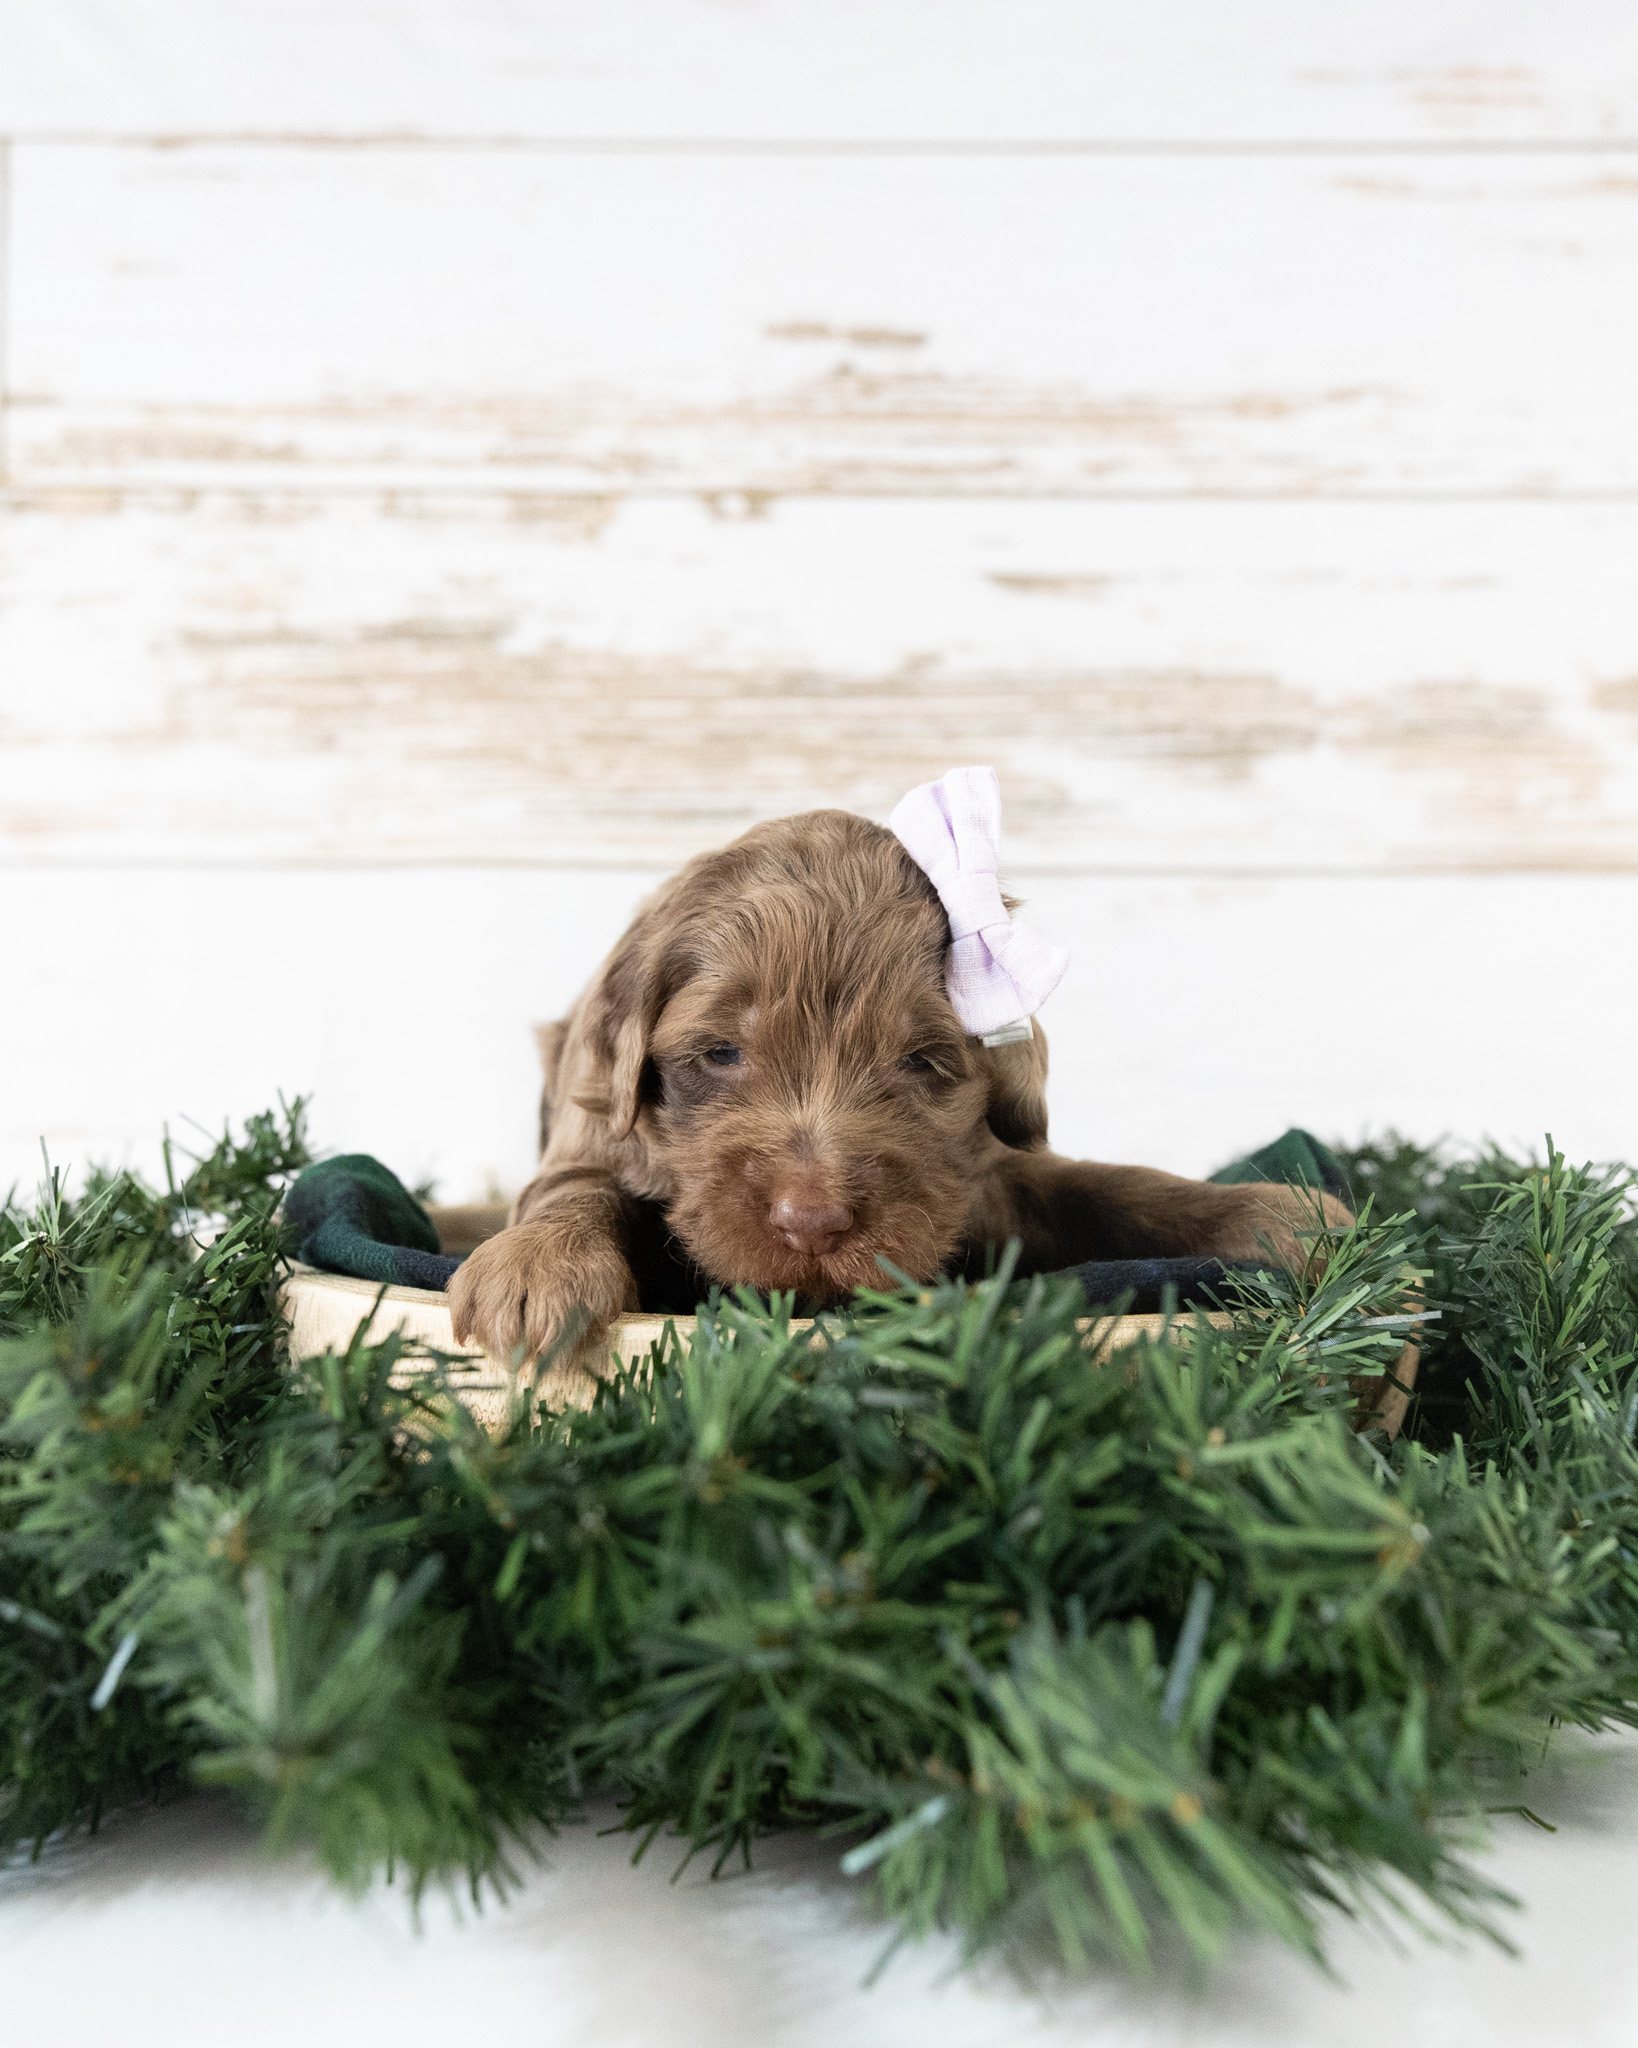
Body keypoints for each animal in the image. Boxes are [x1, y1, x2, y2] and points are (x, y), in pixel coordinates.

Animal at [448, 806, 1351, 1368]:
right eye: (720, 1054)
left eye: (921, 1062)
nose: (812, 1223)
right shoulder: (592, 1135)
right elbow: (579, 1188)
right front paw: (537, 1265)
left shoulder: (992, 1175)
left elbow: (1116, 1188)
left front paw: (1283, 1215)